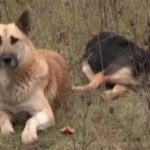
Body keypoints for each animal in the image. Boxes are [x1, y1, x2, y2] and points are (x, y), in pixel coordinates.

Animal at [0, 10, 69, 144]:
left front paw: (28, 134)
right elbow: (2, 118)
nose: (6, 59)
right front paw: (6, 129)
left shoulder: (46, 112)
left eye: (14, 40)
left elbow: (30, 120)